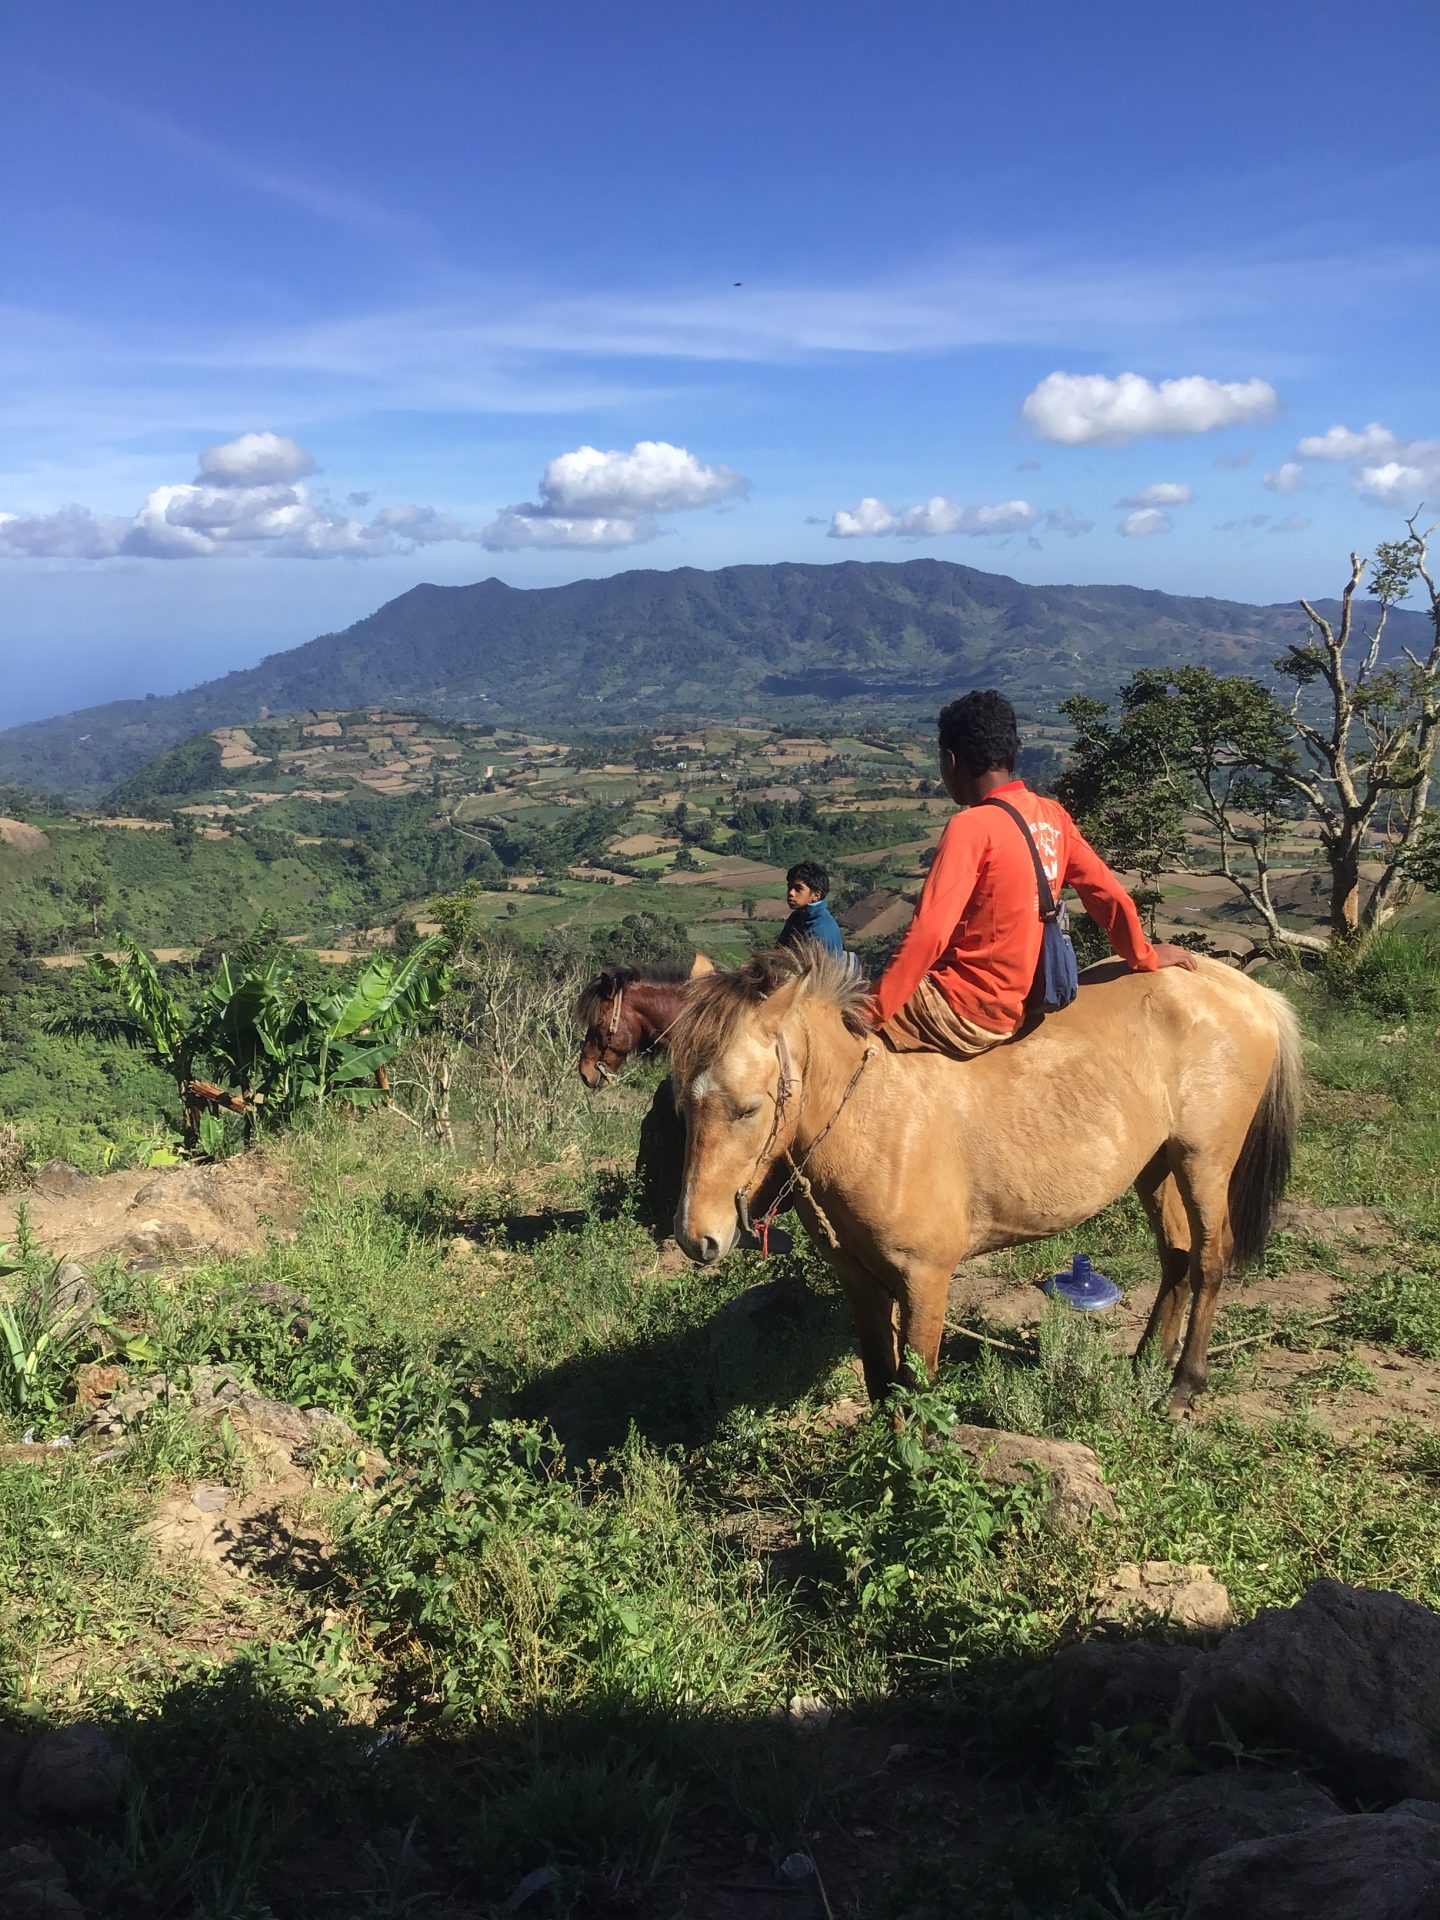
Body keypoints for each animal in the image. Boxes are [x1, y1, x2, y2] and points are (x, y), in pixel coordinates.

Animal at [672, 948, 1305, 1420]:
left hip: (1204, 1161)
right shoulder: (859, 1282)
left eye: (749, 1108)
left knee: (1208, 1260)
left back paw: (1183, 1386)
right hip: (1156, 1165)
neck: (871, 1115)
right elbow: (880, 1382)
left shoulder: (925, 1281)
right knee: (1175, 1255)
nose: (696, 1237)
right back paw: (1146, 1362)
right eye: (683, 1104)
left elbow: (914, 1390)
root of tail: (1249, 992)